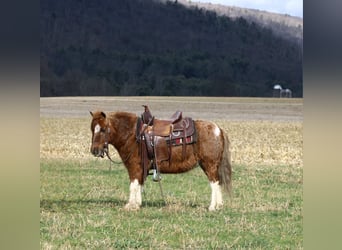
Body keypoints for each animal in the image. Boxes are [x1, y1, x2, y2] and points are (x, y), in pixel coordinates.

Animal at [89, 109, 231, 211]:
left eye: (103, 129)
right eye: (92, 129)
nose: (94, 150)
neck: (134, 135)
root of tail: (218, 129)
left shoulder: (134, 166)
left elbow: (133, 185)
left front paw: (131, 205)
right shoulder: (141, 169)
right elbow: (139, 185)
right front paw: (137, 203)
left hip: (209, 164)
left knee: (214, 183)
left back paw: (213, 207)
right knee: (217, 183)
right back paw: (219, 205)